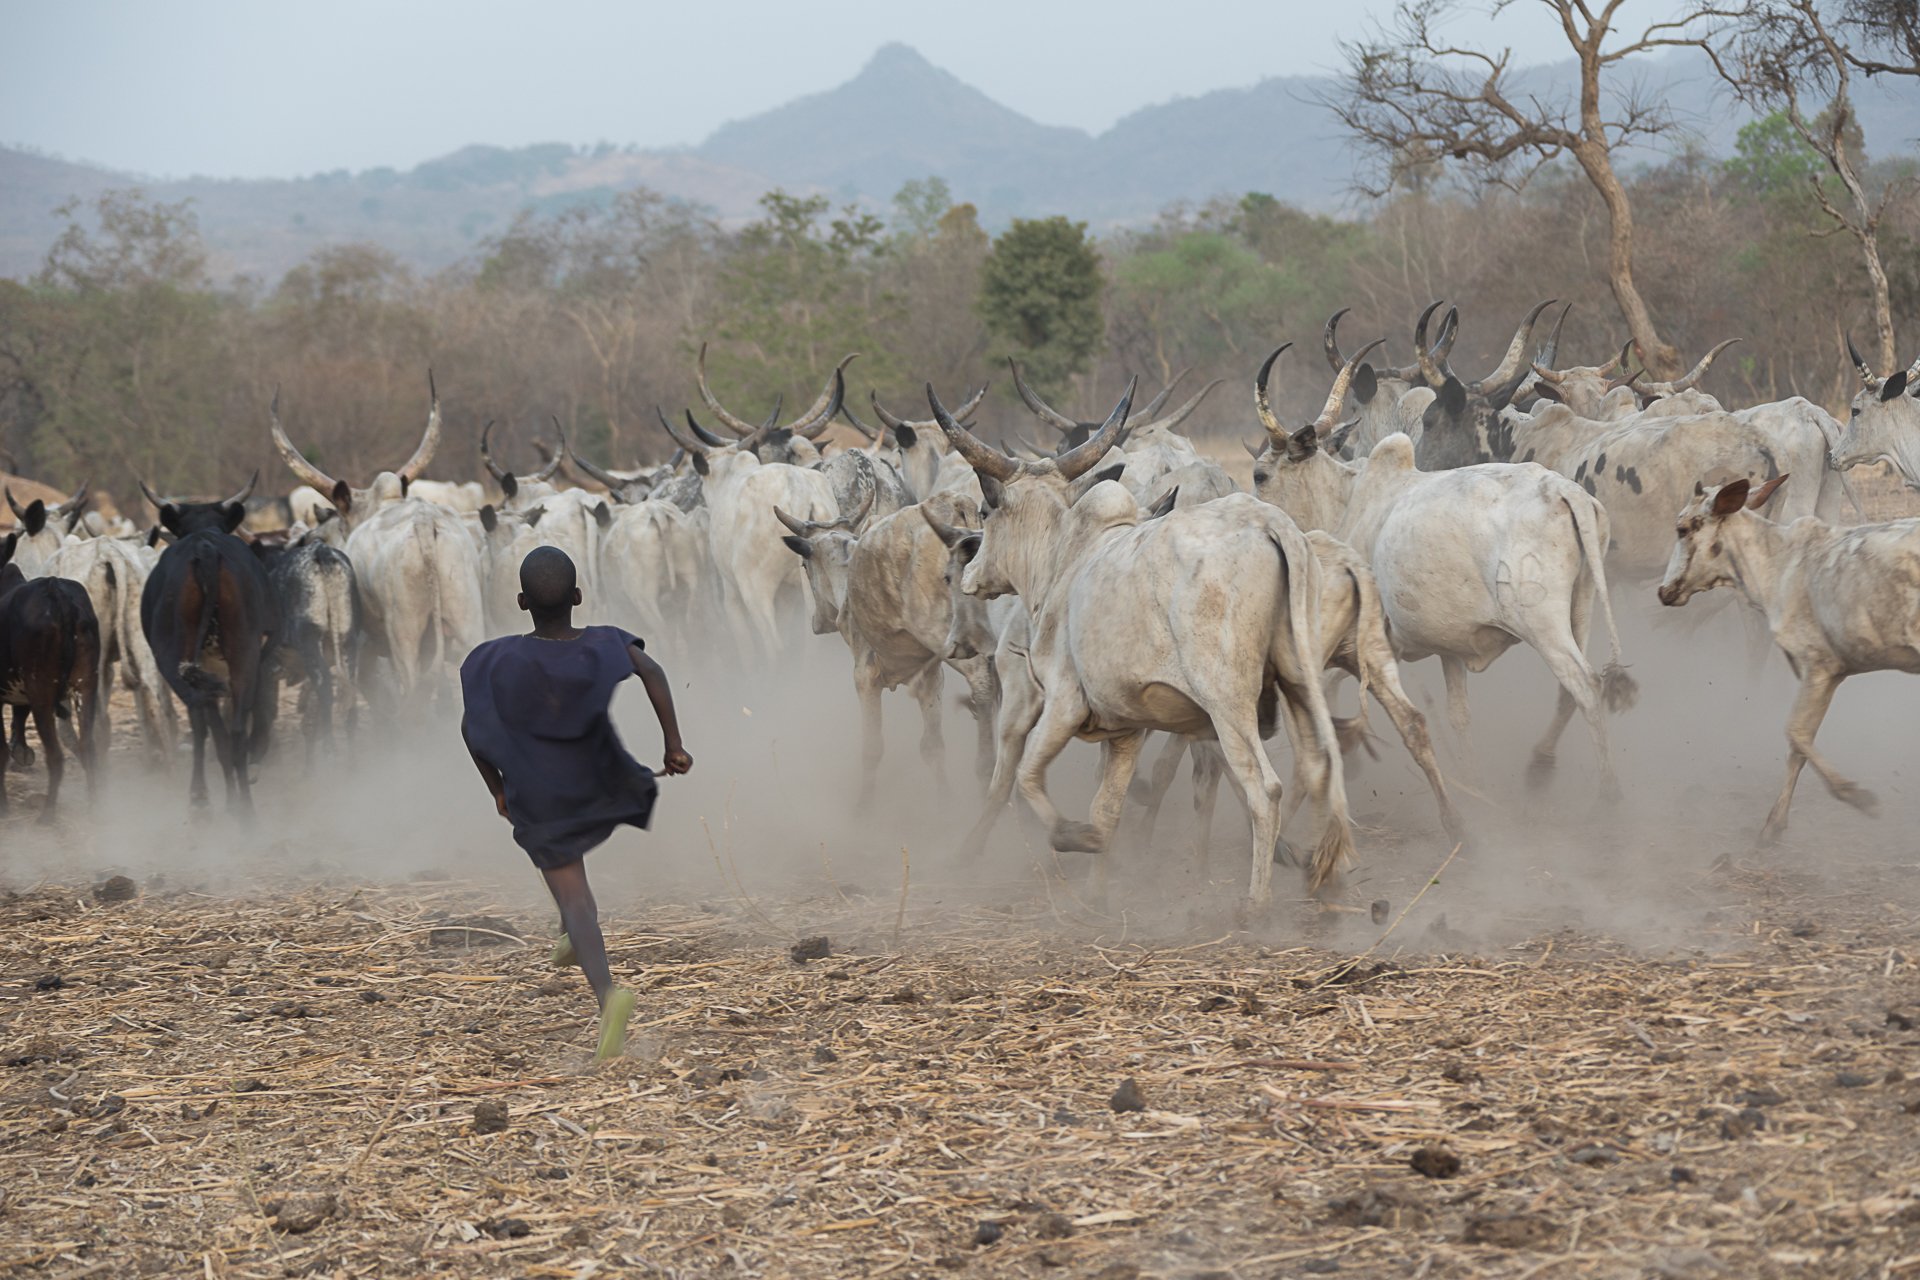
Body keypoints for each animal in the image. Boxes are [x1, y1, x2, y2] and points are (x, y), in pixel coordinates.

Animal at [0, 533, 101, 821]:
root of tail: (57, 592)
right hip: (85, 686)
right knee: (87, 747)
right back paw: (95, 809)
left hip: (42, 692)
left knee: (56, 756)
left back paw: (47, 815)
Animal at [139, 479, 278, 809]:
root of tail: (205, 548)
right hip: (242, 653)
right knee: (235, 728)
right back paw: (242, 808)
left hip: (173, 654)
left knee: (203, 716)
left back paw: (206, 800)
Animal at [925, 385, 1351, 905]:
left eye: (987, 512)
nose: (970, 574)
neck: (1063, 559)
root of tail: (1273, 527)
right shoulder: (1125, 729)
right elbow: (1107, 807)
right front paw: (1096, 893)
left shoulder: (1063, 703)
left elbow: (1025, 776)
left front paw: (1073, 837)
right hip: (1299, 682)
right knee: (1317, 766)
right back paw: (1320, 872)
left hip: (1228, 702)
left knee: (1264, 789)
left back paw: (1255, 903)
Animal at [1658, 475, 1912, 844]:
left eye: (1681, 529)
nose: (1663, 591)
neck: (1776, 564)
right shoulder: (1829, 674)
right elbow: (1797, 750)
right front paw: (1773, 824)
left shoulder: (1817, 666)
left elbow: (1795, 734)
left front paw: (1856, 795)